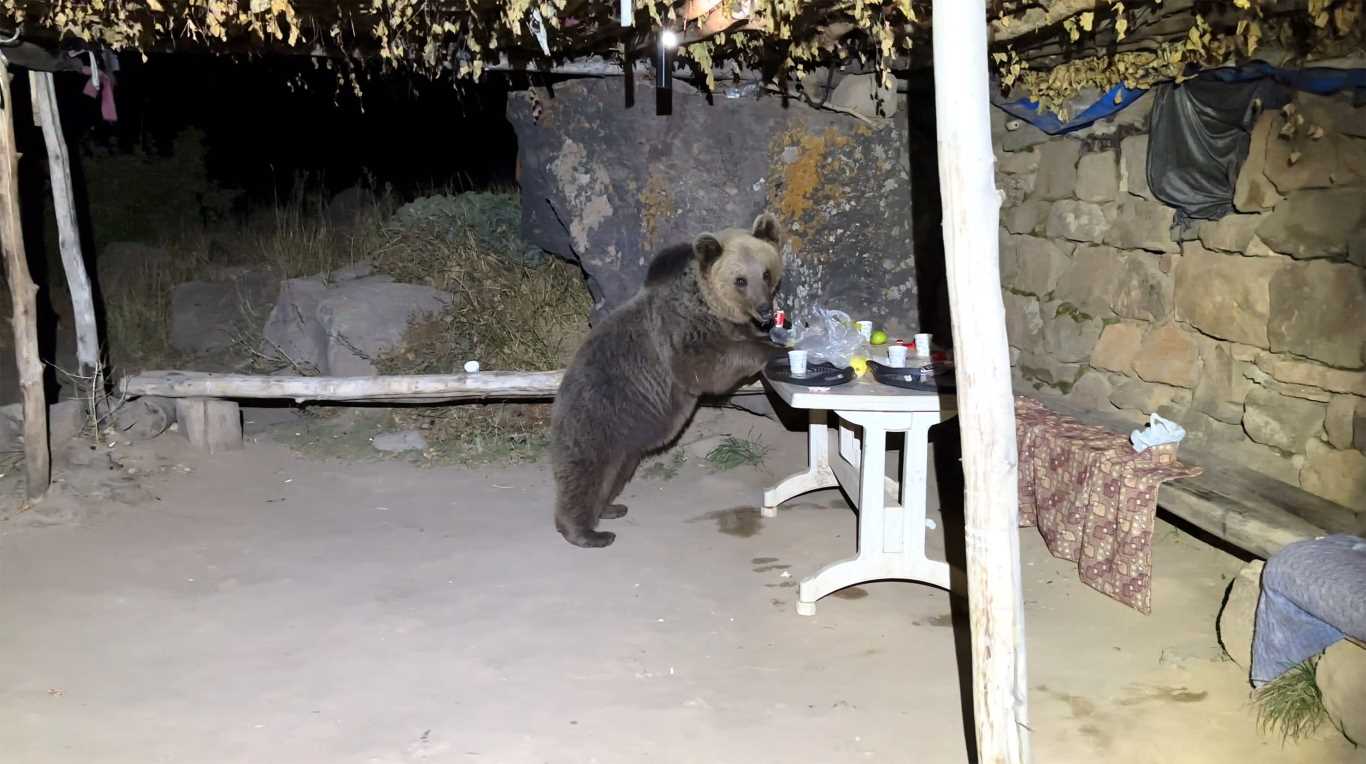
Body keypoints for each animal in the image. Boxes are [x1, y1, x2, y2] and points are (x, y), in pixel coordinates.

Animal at [549, 215, 786, 546]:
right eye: (740, 280)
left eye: (766, 272)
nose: (765, 309)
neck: (709, 304)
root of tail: (558, 399)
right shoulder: (682, 332)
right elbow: (709, 366)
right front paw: (774, 348)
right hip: (598, 419)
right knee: (586, 473)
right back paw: (587, 532)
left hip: (627, 441)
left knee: (614, 474)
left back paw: (611, 508)